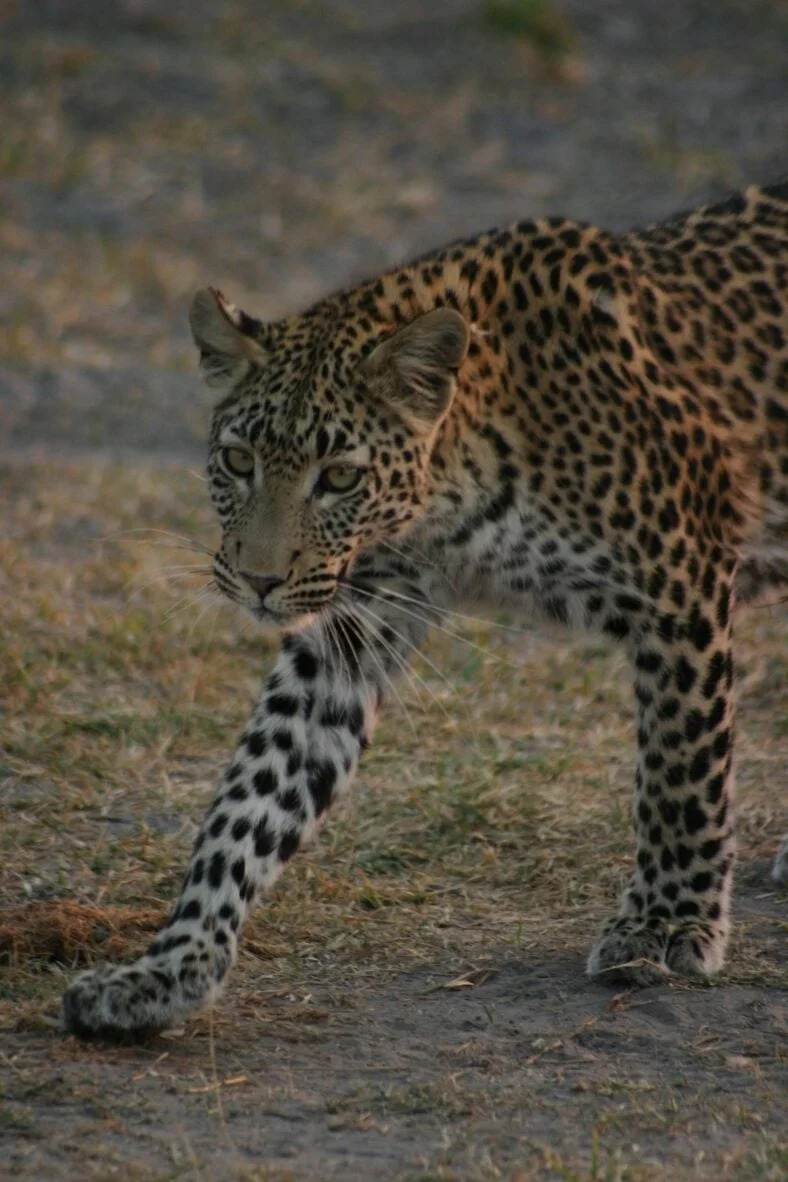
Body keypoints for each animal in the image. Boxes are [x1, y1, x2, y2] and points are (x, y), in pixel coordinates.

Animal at [62, 180, 787, 1039]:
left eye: (340, 477)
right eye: (238, 461)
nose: (260, 582)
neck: (452, 498)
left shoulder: (679, 579)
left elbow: (681, 769)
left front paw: (666, 921)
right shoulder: (351, 623)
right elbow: (250, 799)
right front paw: (171, 966)